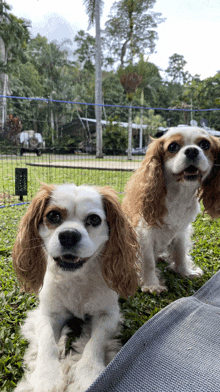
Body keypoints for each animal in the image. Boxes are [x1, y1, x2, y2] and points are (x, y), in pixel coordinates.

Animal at [12, 184, 138, 392]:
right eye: (53, 215)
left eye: (94, 219)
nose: (69, 235)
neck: (76, 277)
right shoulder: (48, 314)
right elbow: (47, 342)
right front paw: (47, 377)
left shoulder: (108, 315)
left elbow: (96, 342)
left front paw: (89, 374)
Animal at [122, 127, 220, 292]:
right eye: (173, 146)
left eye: (205, 144)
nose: (192, 151)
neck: (178, 194)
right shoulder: (144, 232)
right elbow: (148, 261)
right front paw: (151, 284)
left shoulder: (181, 231)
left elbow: (180, 252)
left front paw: (185, 272)